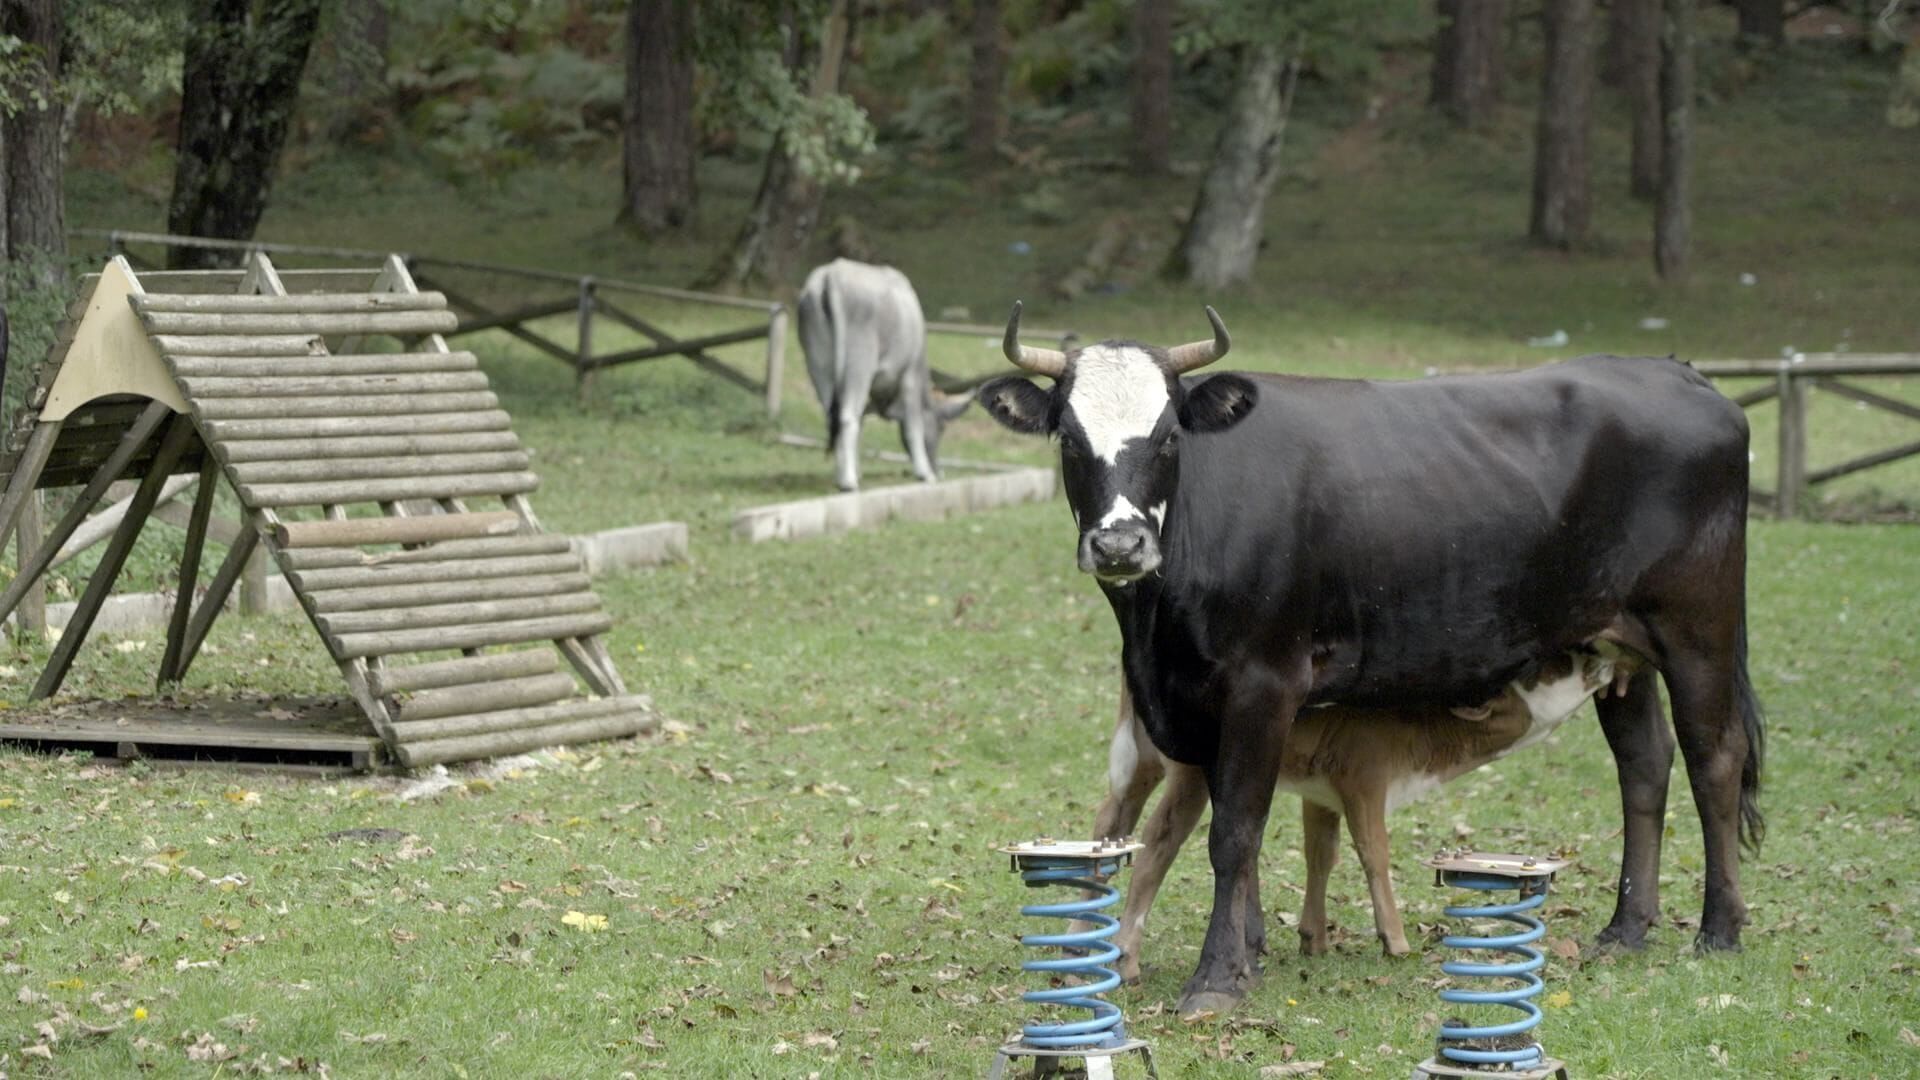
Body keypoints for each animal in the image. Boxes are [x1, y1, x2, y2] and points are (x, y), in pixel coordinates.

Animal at [795, 259, 973, 491]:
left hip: (818, 366)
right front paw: (924, 473)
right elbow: (913, 425)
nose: (939, 470)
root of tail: (831, 274)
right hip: (859, 365)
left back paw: (842, 475)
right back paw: (848, 481)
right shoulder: (910, 376)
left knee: (832, 417)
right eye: (941, 427)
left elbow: (862, 422)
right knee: (847, 416)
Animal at [1110, 645, 1640, 981]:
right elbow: (1373, 852)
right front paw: (1396, 941)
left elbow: (1321, 854)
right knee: (1158, 842)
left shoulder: (1322, 790)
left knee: (1113, 819)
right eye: (1552, 668)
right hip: (1192, 769)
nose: (1602, 659)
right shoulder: (1364, 776)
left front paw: (1314, 940)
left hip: (1139, 759)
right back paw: (1128, 963)